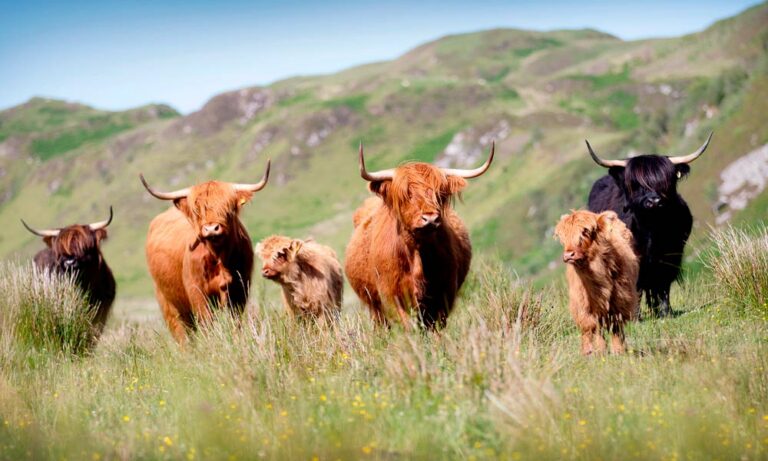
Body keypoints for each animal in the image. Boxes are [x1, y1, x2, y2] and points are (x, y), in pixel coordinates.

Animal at [140, 160, 270, 344]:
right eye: (197, 210)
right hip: (168, 304)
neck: (219, 255)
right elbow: (207, 323)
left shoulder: (240, 288)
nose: (211, 228)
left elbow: (235, 321)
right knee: (182, 333)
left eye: (227, 208)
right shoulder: (197, 292)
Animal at [345, 142, 494, 329]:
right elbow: (408, 326)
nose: (430, 218)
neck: (417, 253)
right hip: (374, 307)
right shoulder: (392, 296)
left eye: (439, 193)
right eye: (407, 194)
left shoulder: (444, 293)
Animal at [554, 210, 639, 355]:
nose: (568, 255)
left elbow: (615, 325)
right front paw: (593, 351)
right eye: (563, 237)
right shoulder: (581, 301)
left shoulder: (620, 299)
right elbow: (591, 326)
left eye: (585, 232)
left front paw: (618, 350)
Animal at [585, 133, 712, 317]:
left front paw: (666, 312)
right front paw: (635, 316)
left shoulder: (671, 255)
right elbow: (636, 286)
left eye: (666, 182)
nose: (654, 201)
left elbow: (663, 284)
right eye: (636, 184)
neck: (652, 230)